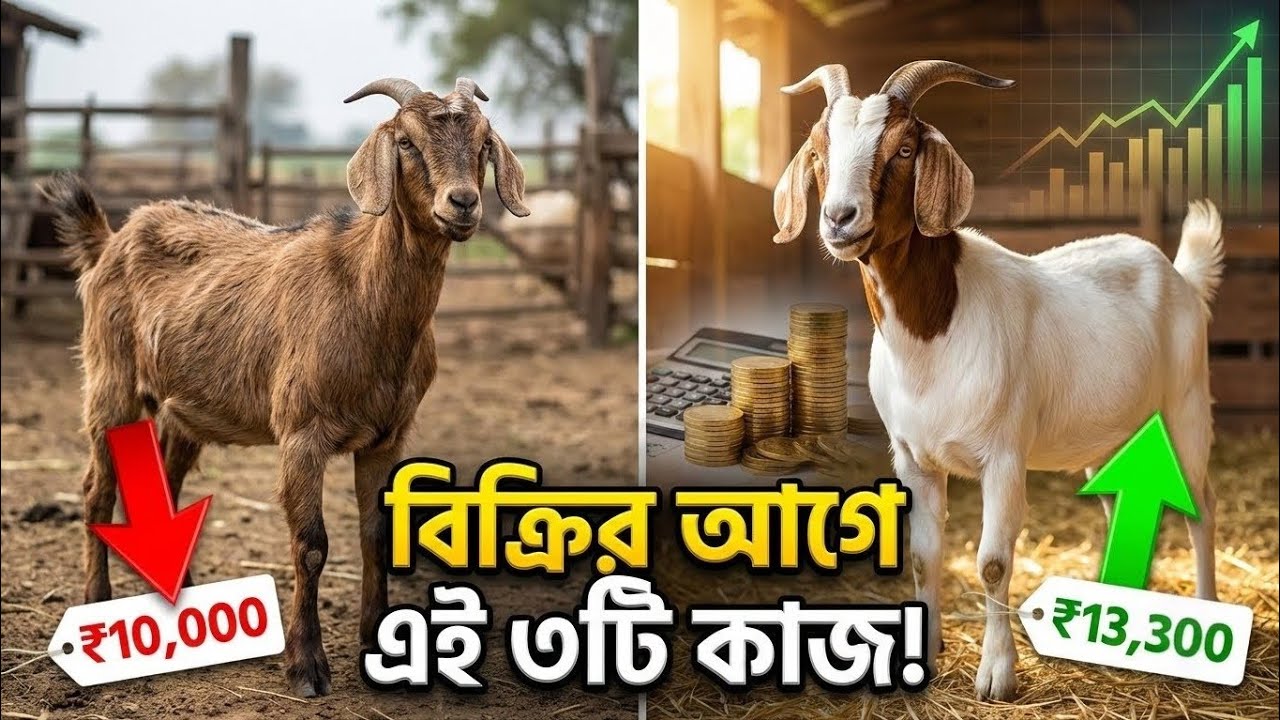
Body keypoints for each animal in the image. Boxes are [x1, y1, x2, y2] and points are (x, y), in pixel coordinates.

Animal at [42, 76, 529, 697]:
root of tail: (109, 240)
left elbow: (375, 535)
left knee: (167, 488)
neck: (365, 298)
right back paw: (96, 603)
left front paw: (381, 648)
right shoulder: (302, 432)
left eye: (485, 142)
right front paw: (306, 666)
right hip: (111, 383)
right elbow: (311, 544)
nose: (462, 203)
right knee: (95, 489)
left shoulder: (387, 436)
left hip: (184, 410)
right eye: (406, 143)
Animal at [773, 61, 1222, 700]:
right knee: (1117, 504)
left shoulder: (1004, 455)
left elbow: (991, 562)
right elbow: (924, 556)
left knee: (1200, 508)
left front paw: (997, 675)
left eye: (904, 148)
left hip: (1185, 409)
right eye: (817, 150)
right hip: (1107, 434)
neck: (935, 336)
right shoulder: (912, 457)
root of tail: (1180, 273)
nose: (839, 218)